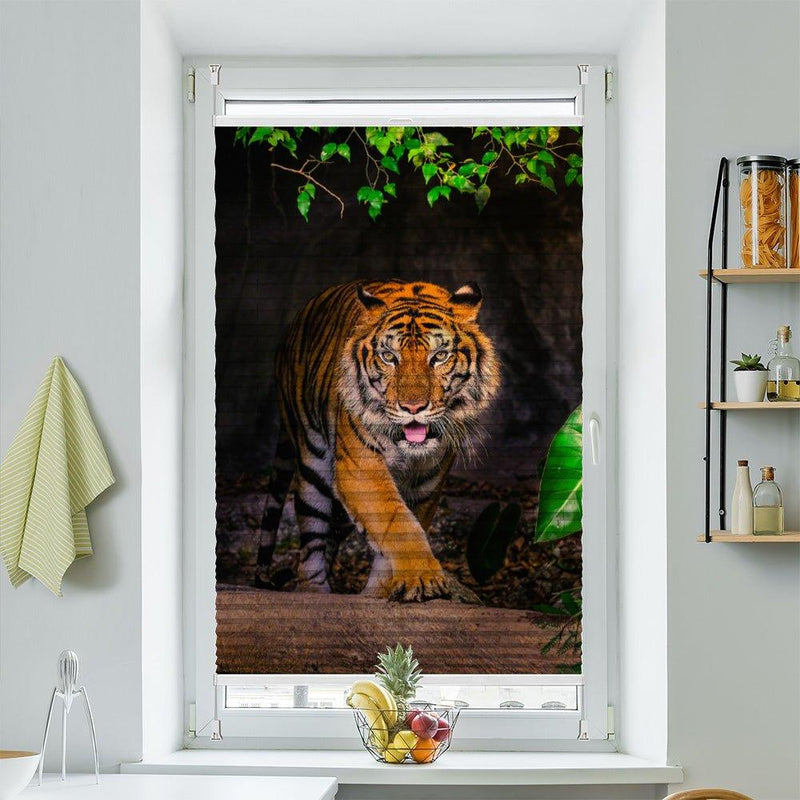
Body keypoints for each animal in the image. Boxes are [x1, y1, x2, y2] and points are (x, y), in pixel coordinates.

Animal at [255, 279, 500, 601]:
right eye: (389, 357)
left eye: (439, 357)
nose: (412, 408)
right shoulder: (360, 469)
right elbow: (398, 522)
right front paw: (424, 578)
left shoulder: (428, 483)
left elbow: (401, 528)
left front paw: (381, 592)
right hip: (313, 469)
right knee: (311, 544)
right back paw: (314, 592)